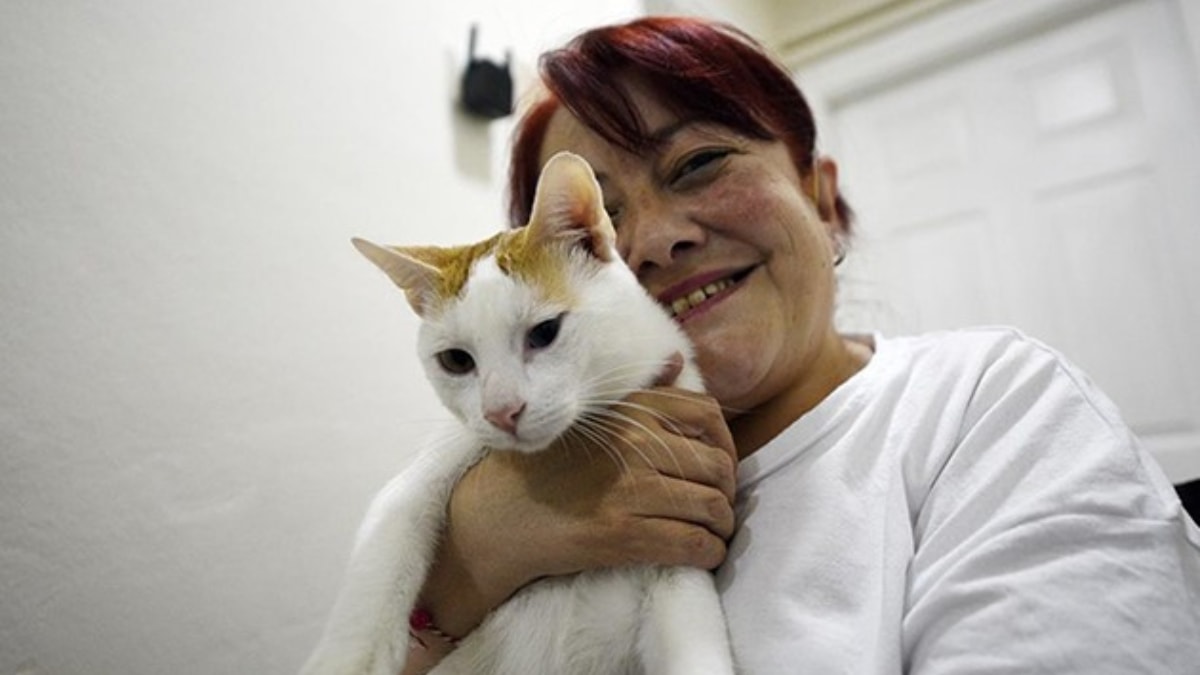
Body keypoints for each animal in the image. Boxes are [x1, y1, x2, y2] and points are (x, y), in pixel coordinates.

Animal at [299, 151, 735, 675]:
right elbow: (394, 517)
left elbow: (693, 636)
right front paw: (353, 654)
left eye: (545, 332)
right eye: (456, 361)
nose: (502, 411)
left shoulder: (681, 556)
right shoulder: (445, 454)